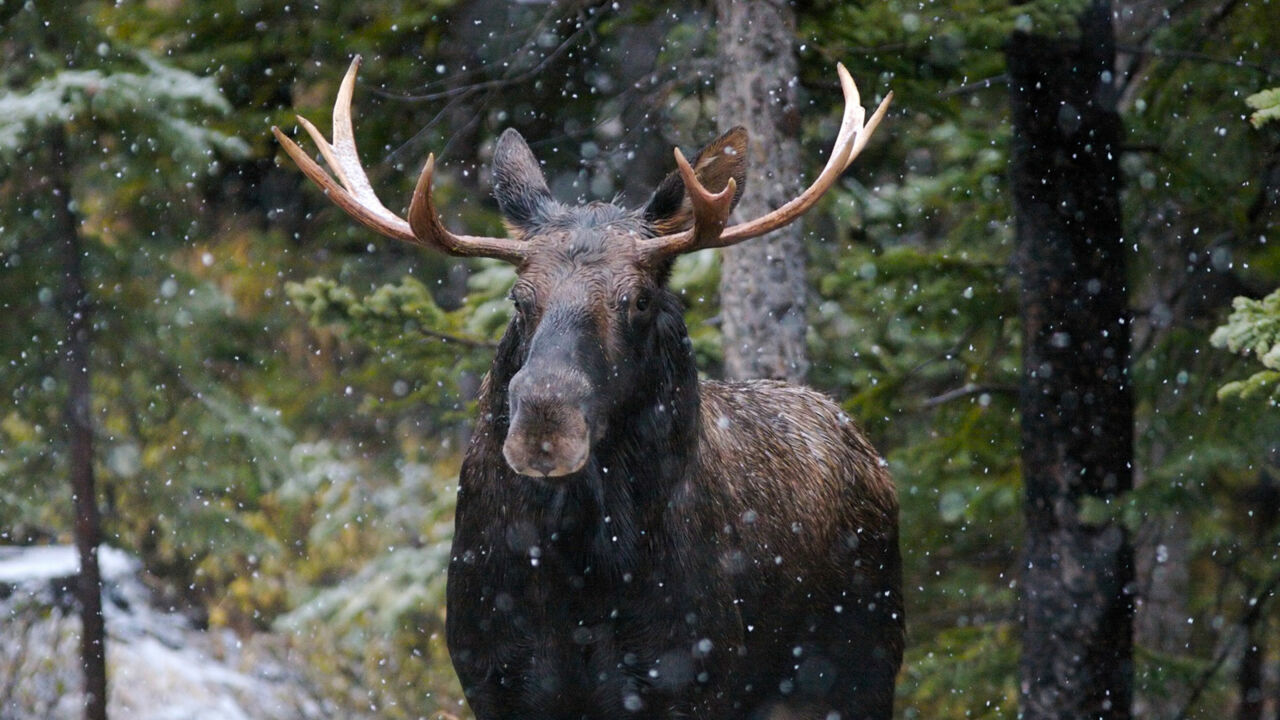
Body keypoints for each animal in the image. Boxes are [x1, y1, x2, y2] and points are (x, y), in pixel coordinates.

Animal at [276, 56, 906, 717]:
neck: (577, 581)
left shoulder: (687, 679)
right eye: (518, 298)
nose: (544, 427)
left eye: (640, 299)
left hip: (859, 668)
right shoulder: (494, 680)